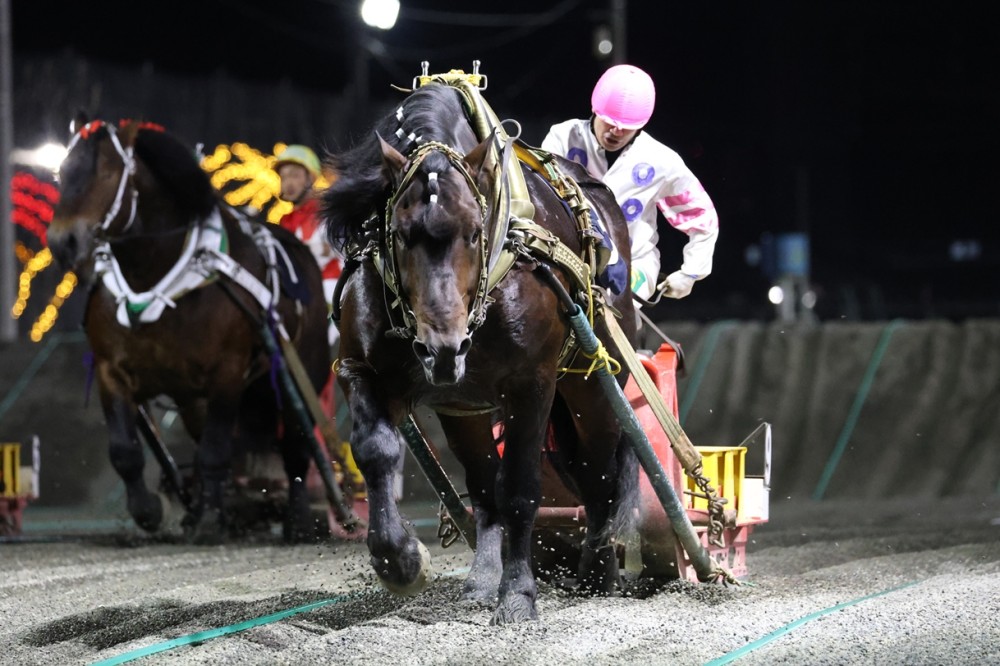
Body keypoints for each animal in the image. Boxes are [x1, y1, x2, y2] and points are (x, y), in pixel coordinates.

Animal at [48, 117, 332, 544]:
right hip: (192, 398)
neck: (157, 276)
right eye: (62, 172)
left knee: (297, 444)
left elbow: (216, 450)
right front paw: (151, 510)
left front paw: (210, 519)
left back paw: (297, 519)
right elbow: (125, 450)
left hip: (302, 372)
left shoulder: (227, 373)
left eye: (108, 173)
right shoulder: (112, 372)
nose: (63, 241)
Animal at [322, 80, 639, 623]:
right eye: (400, 234)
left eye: (474, 231)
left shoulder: (532, 383)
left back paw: (598, 571)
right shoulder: (360, 368)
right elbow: (376, 450)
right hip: (463, 407)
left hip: (590, 383)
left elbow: (521, 487)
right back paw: (484, 578)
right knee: (487, 486)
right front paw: (400, 561)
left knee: (597, 469)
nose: (442, 349)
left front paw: (519, 595)